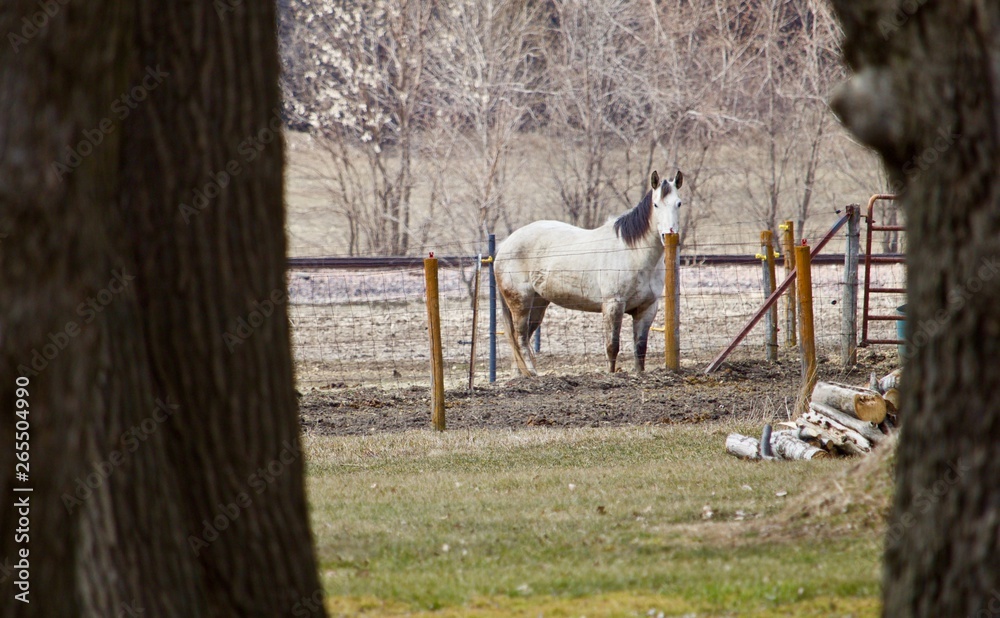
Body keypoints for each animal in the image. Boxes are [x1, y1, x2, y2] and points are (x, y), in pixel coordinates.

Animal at [494, 170, 683, 376]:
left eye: (679, 203)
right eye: (656, 204)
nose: (668, 234)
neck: (633, 253)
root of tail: (505, 245)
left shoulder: (647, 308)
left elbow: (640, 348)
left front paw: (639, 374)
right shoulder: (613, 305)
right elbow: (612, 347)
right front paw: (611, 375)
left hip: (538, 304)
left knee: (523, 339)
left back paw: (522, 376)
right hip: (521, 303)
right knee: (519, 337)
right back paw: (533, 373)